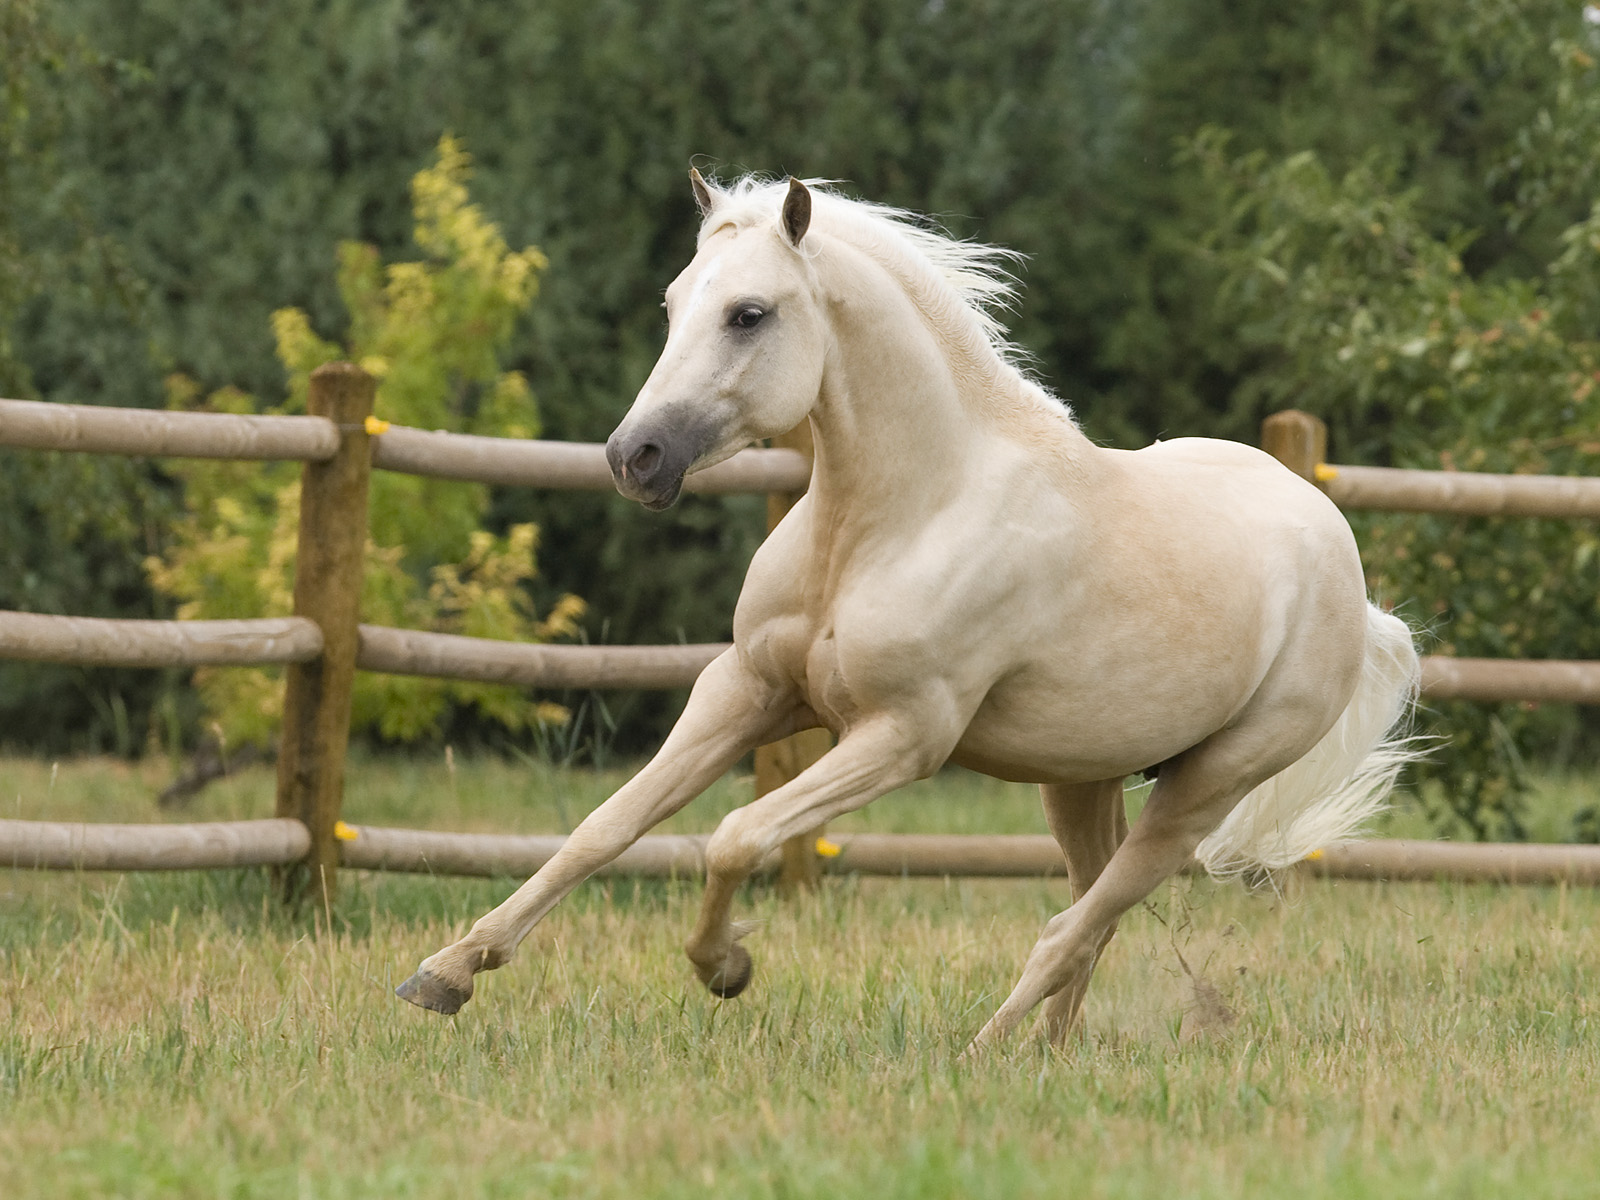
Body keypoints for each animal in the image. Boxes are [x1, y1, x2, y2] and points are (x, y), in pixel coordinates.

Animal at [396, 171, 1414, 1049]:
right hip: (1078, 777)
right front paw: (446, 973)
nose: (635, 458)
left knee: (1077, 921)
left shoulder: (902, 735)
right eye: (675, 303)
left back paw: (985, 1053)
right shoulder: (746, 690)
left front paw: (725, 968)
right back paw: (1046, 1053)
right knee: (1091, 918)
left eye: (750, 313)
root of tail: (1348, 575)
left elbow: (736, 835)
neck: (896, 519)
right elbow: (604, 828)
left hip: (1206, 788)